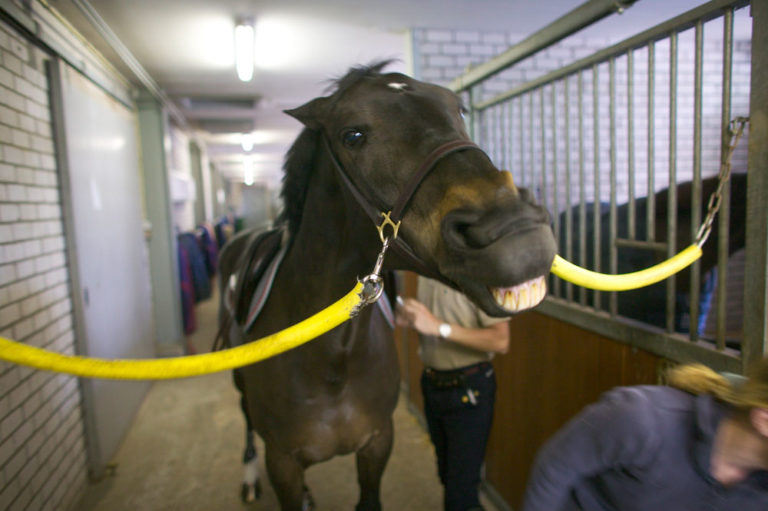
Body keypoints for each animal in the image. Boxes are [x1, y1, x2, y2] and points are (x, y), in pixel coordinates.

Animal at [219, 62, 556, 510]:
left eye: (458, 109)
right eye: (353, 135)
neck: (332, 360)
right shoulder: (283, 464)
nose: (517, 232)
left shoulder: (377, 445)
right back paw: (248, 477)